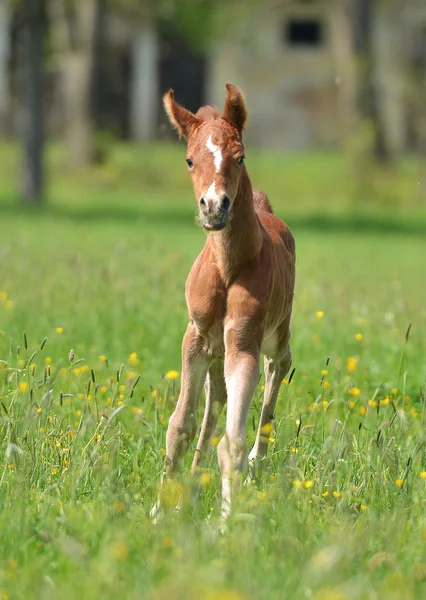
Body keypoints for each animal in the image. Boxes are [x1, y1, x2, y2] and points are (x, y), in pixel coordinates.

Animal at [161, 84, 294, 520]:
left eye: (240, 156)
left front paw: (227, 524)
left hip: (275, 335)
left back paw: (256, 465)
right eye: (189, 159)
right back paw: (193, 482)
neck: (227, 267)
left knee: (278, 366)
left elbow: (232, 443)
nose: (215, 205)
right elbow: (180, 426)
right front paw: (161, 511)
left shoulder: (243, 343)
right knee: (214, 401)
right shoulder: (197, 338)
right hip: (216, 351)